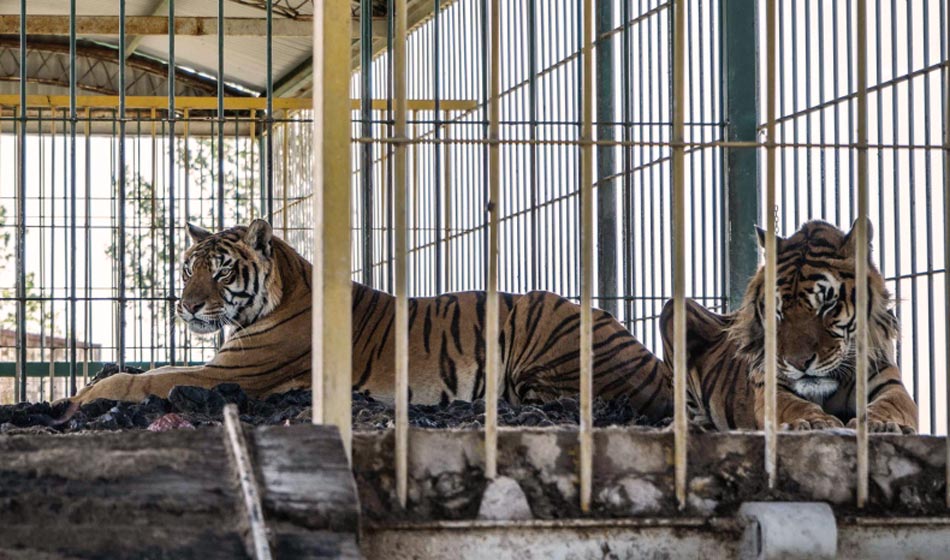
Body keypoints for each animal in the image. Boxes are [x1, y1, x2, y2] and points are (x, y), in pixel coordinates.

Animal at [63, 218, 672, 420]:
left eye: (220, 271)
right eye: (188, 267)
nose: (186, 304)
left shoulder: (229, 373)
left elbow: (147, 379)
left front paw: (82, 395)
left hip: (540, 321)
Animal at [660, 219, 924, 434]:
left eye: (827, 304)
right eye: (777, 311)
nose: (799, 363)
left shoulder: (888, 382)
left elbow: (891, 404)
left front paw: (882, 424)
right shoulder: (771, 386)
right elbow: (795, 405)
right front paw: (816, 422)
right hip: (674, 308)